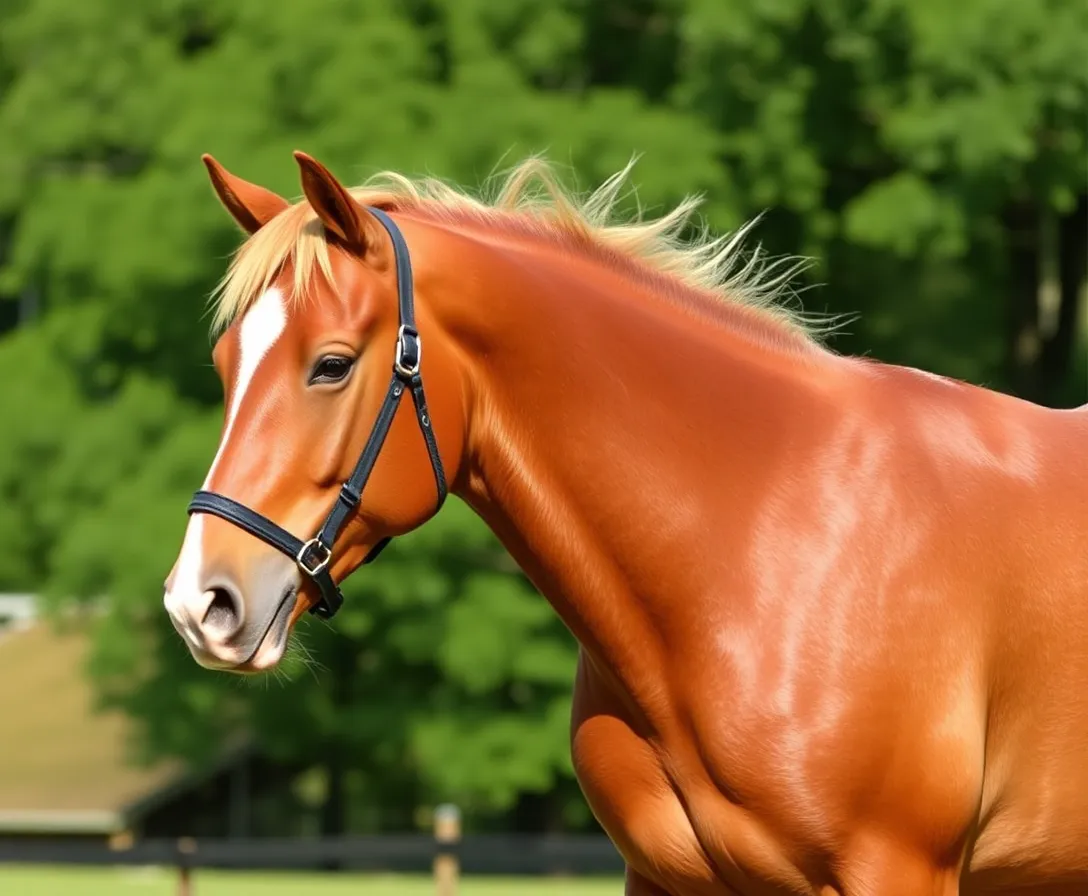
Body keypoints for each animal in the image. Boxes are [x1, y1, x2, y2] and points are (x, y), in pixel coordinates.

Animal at [163, 150, 1088, 895]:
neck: (764, 548)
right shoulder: (662, 875)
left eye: (331, 365)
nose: (200, 602)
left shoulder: (894, 868)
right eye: (224, 364)